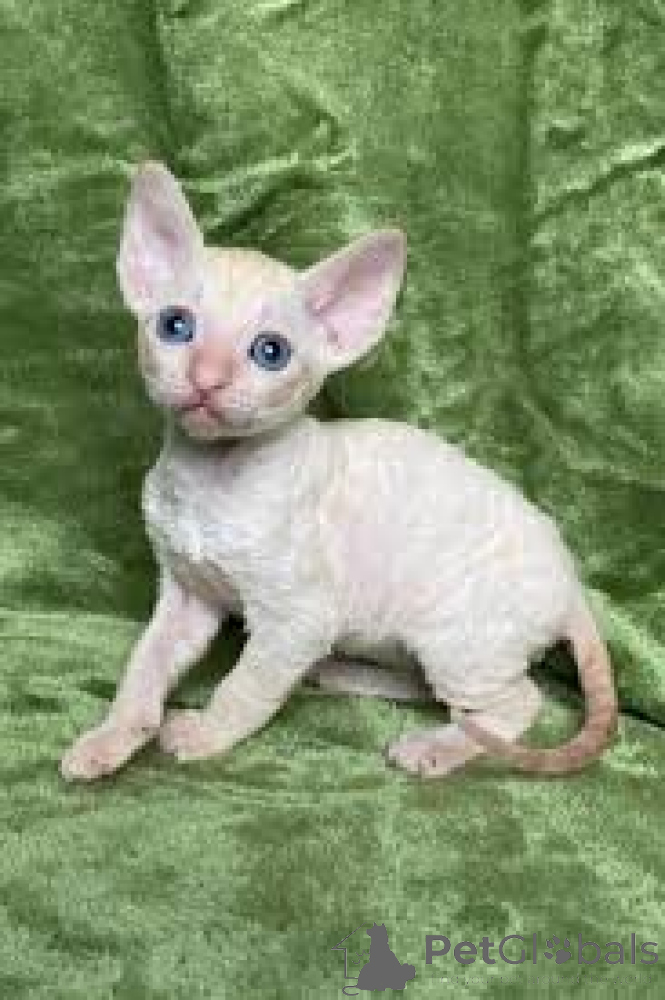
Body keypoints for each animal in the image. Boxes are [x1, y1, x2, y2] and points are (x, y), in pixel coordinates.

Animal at [60, 162, 618, 781]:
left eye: (271, 352)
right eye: (176, 326)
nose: (207, 380)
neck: (210, 477)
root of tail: (571, 582)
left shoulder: (295, 618)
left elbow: (244, 687)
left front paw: (204, 734)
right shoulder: (187, 593)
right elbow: (144, 666)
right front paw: (108, 740)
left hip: (458, 636)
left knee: (513, 703)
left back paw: (434, 746)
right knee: (426, 685)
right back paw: (338, 672)